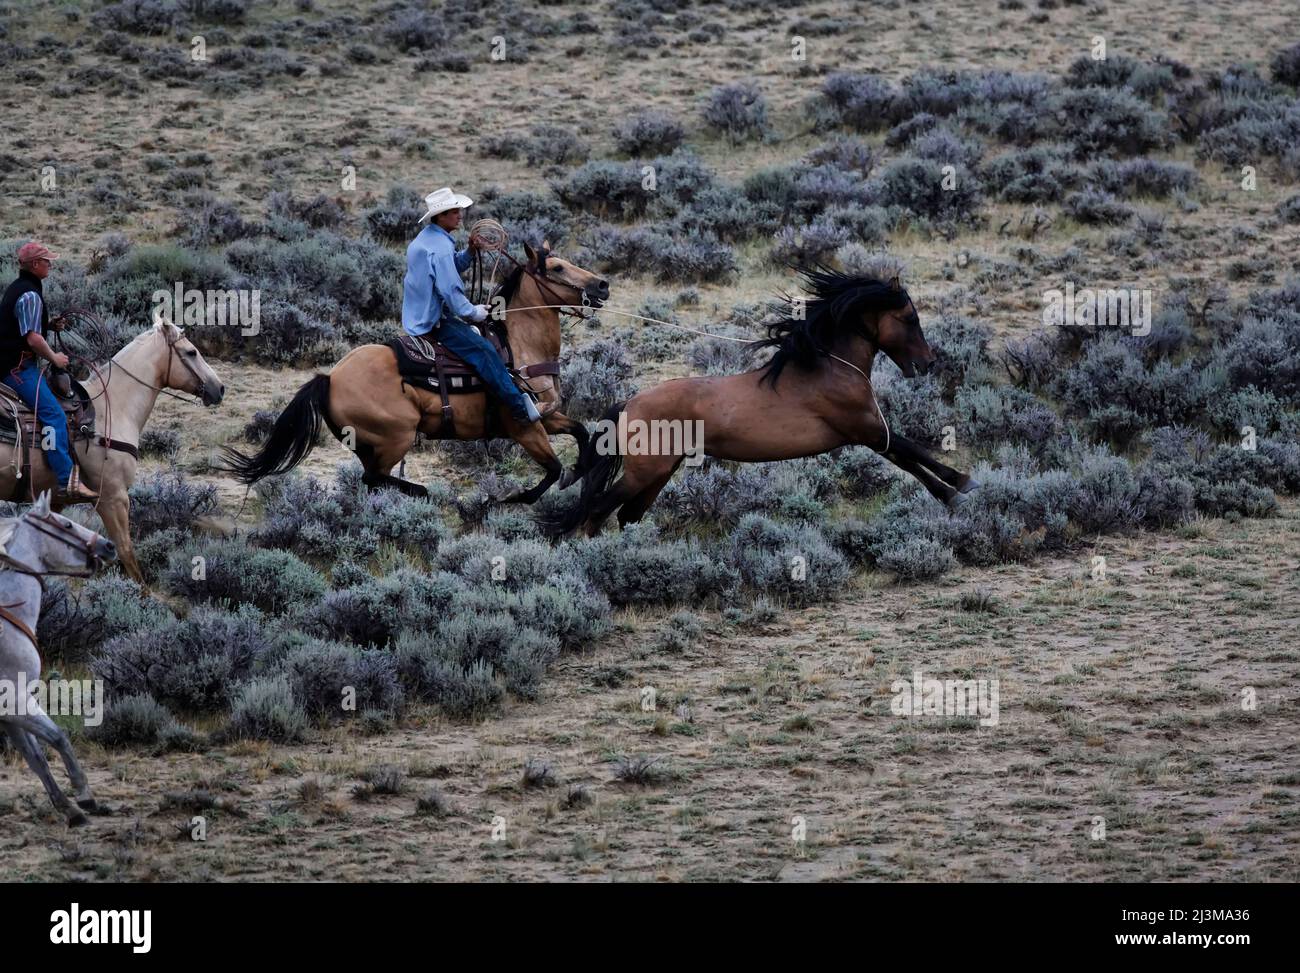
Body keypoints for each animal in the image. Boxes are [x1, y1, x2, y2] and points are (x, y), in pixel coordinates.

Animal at [0, 318, 226, 582]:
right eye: (192, 352)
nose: (219, 388)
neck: (113, 409)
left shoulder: (55, 500)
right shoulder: (113, 497)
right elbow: (126, 552)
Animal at [0, 489, 116, 827]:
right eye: (66, 524)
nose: (109, 546)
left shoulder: (10, 713)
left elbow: (36, 757)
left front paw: (68, 808)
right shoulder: (15, 701)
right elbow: (58, 737)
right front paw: (83, 795)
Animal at [223, 241, 608, 502]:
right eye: (556, 268)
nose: (602, 284)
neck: (518, 346)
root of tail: (330, 378)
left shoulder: (548, 416)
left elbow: (581, 432)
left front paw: (579, 472)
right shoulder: (524, 426)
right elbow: (553, 468)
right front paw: (513, 497)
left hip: (369, 443)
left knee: (371, 479)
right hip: (398, 436)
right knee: (374, 478)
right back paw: (424, 491)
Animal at [543, 269, 977, 535]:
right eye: (909, 318)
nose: (927, 363)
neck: (826, 366)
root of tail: (629, 404)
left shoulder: (868, 434)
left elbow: (908, 460)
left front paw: (952, 493)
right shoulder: (866, 429)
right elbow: (913, 451)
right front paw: (962, 484)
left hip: (659, 472)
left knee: (626, 514)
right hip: (645, 472)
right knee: (597, 511)